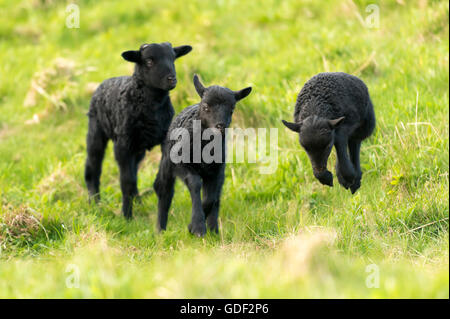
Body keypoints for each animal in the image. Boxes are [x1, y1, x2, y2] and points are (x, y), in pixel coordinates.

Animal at [84, 41, 192, 219]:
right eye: (149, 61)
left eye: (173, 58)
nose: (171, 79)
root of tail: (106, 81)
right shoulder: (122, 145)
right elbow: (126, 182)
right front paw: (127, 217)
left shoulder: (164, 140)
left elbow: (150, 178)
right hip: (96, 131)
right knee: (93, 167)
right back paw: (95, 200)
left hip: (137, 148)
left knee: (133, 171)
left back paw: (137, 201)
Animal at [154, 74, 253, 236]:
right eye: (206, 107)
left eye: (232, 109)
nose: (220, 126)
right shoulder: (182, 164)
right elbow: (195, 183)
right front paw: (197, 226)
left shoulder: (217, 171)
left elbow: (211, 199)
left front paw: (193, 226)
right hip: (167, 164)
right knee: (164, 191)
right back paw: (160, 231)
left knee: (216, 198)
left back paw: (214, 230)